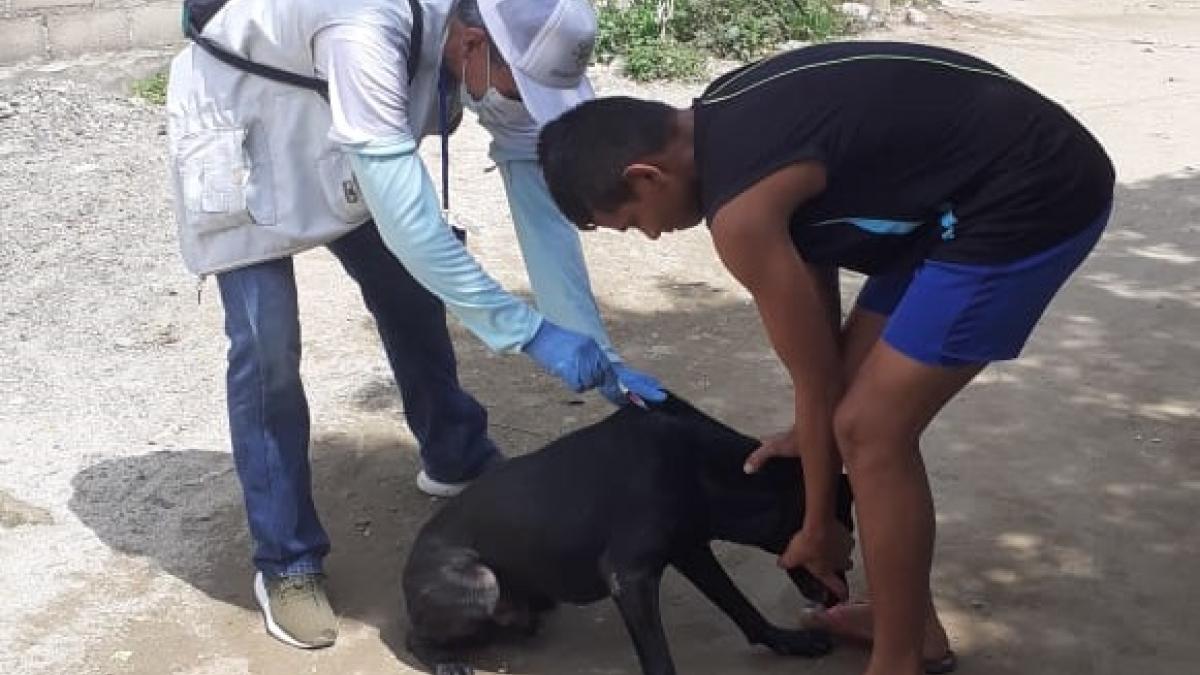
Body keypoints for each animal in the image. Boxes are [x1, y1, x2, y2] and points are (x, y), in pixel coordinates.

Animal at [403, 391, 854, 667]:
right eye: (842, 546)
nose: (841, 600)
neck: (704, 465)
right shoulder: (629, 576)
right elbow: (659, 659)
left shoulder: (692, 551)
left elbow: (741, 607)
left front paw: (788, 641)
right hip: (481, 583)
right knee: (415, 638)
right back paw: (447, 662)